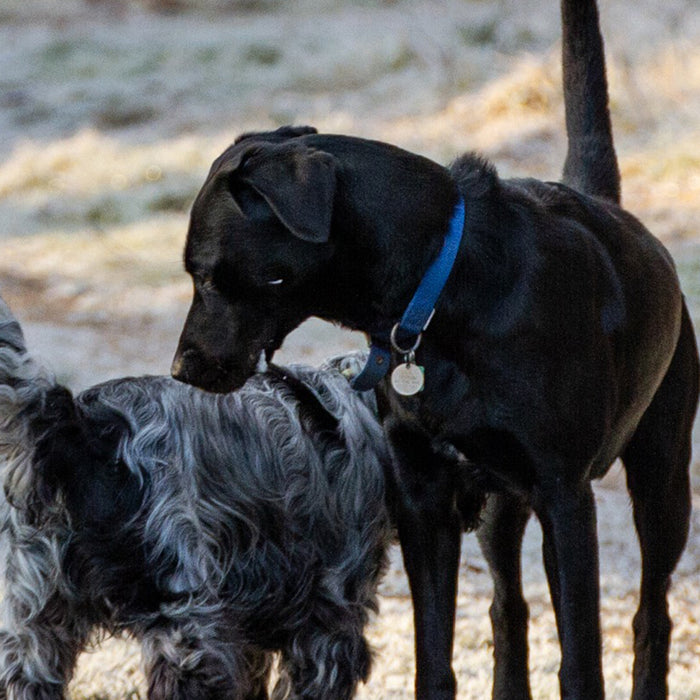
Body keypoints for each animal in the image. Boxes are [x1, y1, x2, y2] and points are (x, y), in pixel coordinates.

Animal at [171, 2, 700, 696]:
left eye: (205, 275)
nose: (180, 368)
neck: (441, 290)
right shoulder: (425, 501)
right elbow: (435, 655)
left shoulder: (564, 496)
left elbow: (581, 659)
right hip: (500, 506)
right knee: (508, 605)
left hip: (661, 478)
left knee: (651, 611)